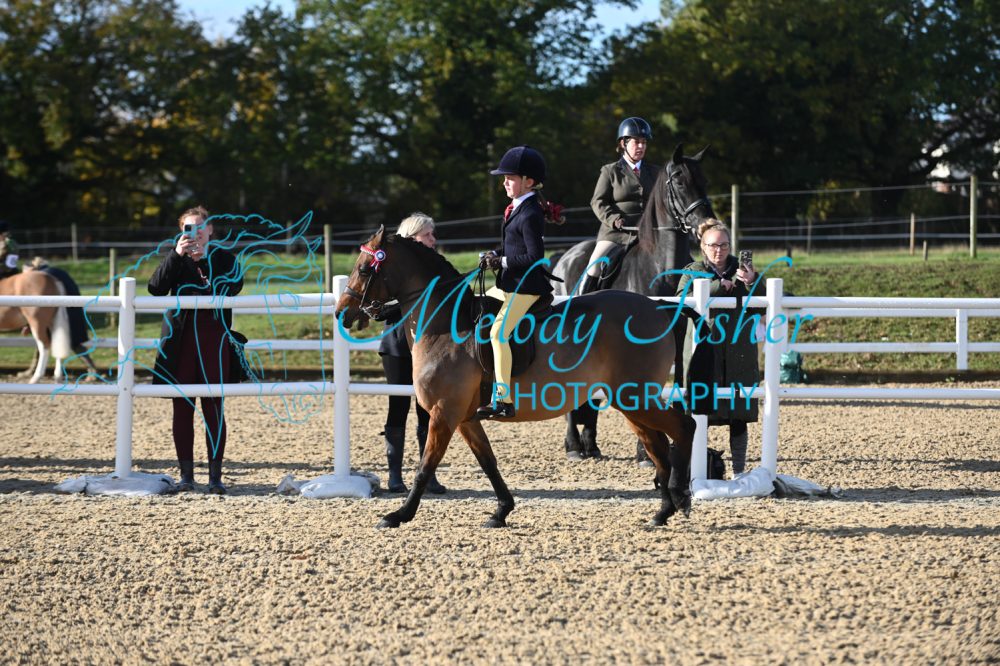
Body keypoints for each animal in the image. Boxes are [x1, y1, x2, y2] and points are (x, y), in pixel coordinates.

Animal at [335, 229, 696, 529]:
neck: (444, 327)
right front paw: (501, 511)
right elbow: (488, 461)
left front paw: (398, 514)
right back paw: (663, 511)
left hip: (635, 397)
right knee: (656, 445)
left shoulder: (444, 412)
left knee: (683, 427)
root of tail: (660, 307)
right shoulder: (465, 418)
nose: (342, 312)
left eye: (365, 269)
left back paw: (680, 496)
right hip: (630, 401)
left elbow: (426, 466)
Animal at [550, 144, 716, 460]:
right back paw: (574, 445)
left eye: (704, 180)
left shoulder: (676, 332)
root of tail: (563, 257)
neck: (658, 266)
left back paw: (590, 443)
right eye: (679, 182)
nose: (706, 225)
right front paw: (646, 452)